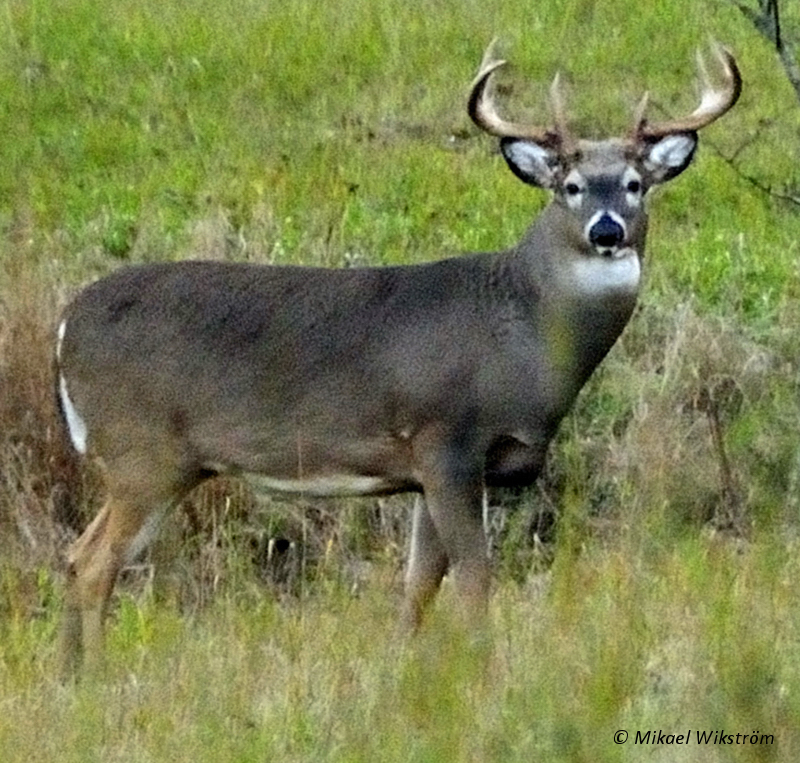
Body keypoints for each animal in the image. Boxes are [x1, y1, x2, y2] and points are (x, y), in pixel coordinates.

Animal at [56, 41, 740, 676]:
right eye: (569, 188)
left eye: (634, 185)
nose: (606, 230)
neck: (523, 332)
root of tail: (64, 326)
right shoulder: (447, 438)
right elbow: (474, 577)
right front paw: (484, 672)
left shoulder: (426, 468)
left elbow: (418, 585)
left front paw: (404, 669)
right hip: (143, 452)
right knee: (94, 563)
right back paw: (96, 677)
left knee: (74, 555)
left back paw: (71, 675)